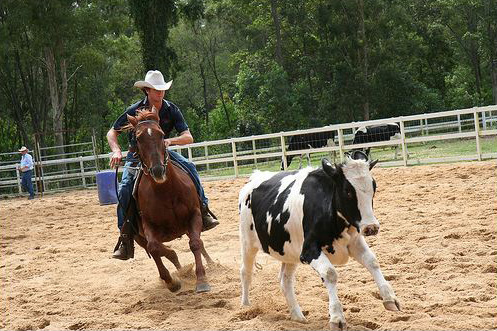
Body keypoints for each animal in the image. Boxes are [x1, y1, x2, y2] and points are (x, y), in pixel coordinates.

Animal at [125, 108, 212, 294]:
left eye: (161, 134)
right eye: (138, 138)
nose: (158, 170)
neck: (166, 192)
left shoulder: (194, 214)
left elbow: (195, 243)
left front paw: (202, 280)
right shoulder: (148, 225)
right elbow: (156, 249)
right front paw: (172, 282)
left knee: (198, 244)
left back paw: (211, 264)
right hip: (139, 238)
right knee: (159, 251)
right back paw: (180, 272)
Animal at [237, 152, 400, 330]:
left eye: (373, 187)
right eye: (348, 191)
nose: (371, 227)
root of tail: (255, 176)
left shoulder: (354, 242)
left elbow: (372, 261)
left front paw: (390, 298)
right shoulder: (309, 251)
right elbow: (330, 273)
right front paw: (337, 318)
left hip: (290, 253)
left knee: (285, 281)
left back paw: (297, 316)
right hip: (247, 242)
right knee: (246, 272)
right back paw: (246, 306)